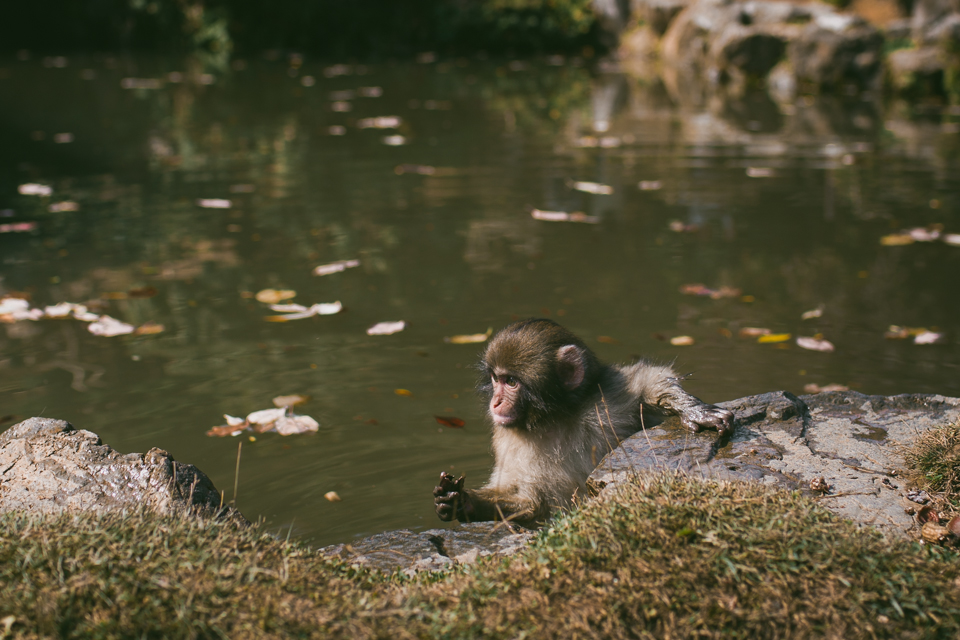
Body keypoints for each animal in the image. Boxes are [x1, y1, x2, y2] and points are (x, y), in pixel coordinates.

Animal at [436, 318, 736, 524]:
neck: (554, 417)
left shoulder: (607, 395)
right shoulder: (506, 440)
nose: (496, 402)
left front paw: (694, 409)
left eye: (511, 381)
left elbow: (645, 382)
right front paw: (462, 501)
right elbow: (530, 500)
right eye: (495, 379)